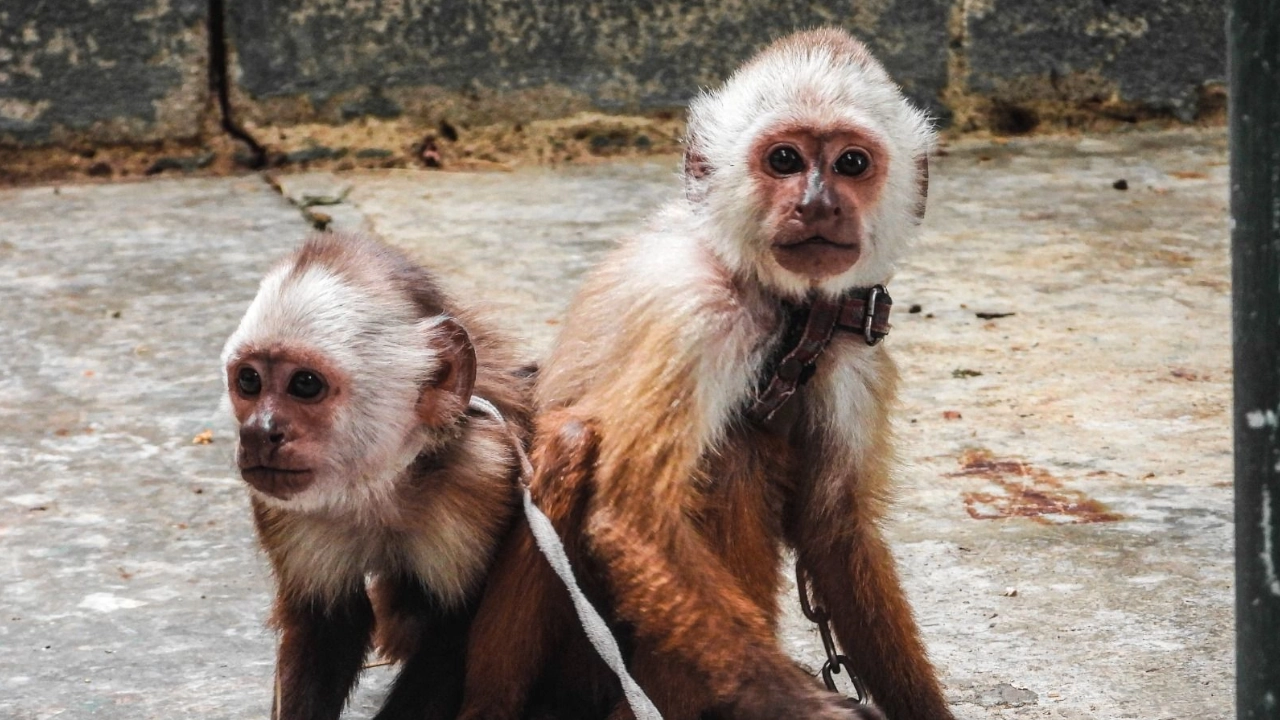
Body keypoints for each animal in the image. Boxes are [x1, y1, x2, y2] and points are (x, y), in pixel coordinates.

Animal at [220, 231, 532, 720]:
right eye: (249, 381)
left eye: (305, 384)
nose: (257, 431)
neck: (381, 486)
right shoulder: (279, 506)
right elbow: (329, 625)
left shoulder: (482, 474)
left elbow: (456, 632)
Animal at [457, 28, 952, 720]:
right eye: (784, 160)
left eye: (851, 164)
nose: (817, 203)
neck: (789, 317)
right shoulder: (694, 312)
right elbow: (633, 518)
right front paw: (808, 707)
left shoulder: (857, 350)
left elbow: (835, 532)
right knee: (648, 447)